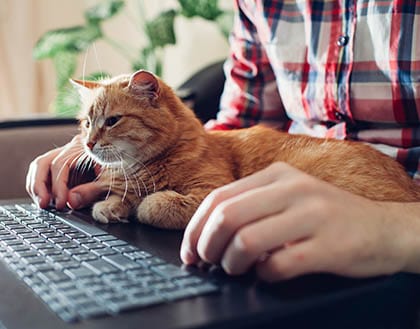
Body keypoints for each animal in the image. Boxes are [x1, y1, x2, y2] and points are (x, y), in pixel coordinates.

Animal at [71, 70, 420, 228]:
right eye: (87, 123)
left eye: (113, 120)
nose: (89, 143)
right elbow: (115, 200)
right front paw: (112, 206)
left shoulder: (208, 189)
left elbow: (153, 205)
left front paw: (139, 205)